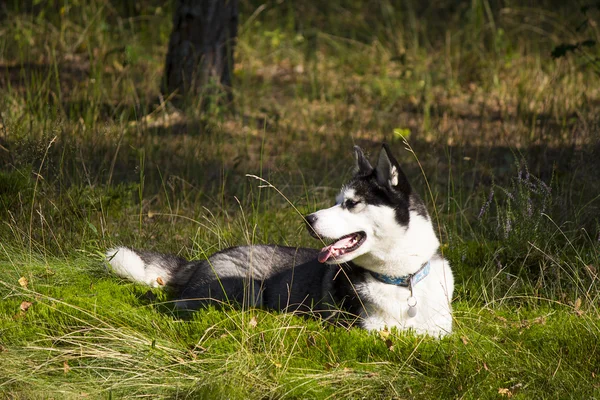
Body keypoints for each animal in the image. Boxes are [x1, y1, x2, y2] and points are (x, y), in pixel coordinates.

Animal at [108, 145, 454, 336]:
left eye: (351, 203)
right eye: (336, 200)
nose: (307, 219)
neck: (401, 280)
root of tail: (201, 260)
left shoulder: (440, 334)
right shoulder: (365, 331)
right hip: (246, 291)